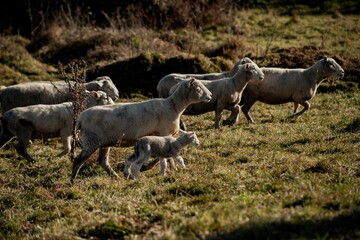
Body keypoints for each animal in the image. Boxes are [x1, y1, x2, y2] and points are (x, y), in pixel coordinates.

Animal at [69, 78, 212, 184]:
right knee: (78, 161)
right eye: (198, 88)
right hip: (91, 141)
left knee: (102, 161)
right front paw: (169, 168)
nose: (210, 96)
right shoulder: (164, 134)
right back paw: (72, 181)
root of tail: (80, 118)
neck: (173, 106)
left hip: (102, 142)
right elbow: (165, 155)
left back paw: (117, 176)